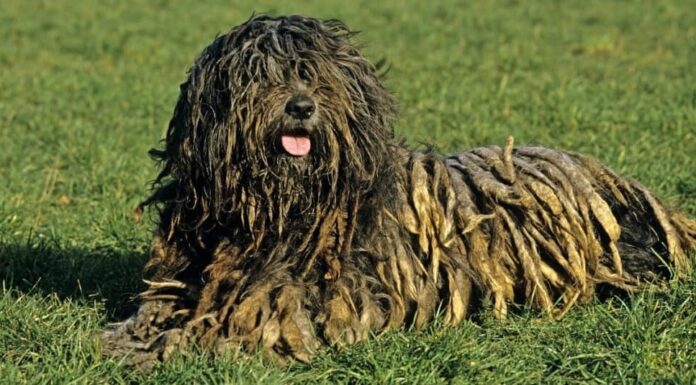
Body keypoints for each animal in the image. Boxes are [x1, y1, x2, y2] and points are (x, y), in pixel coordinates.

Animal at [103, 14, 696, 366]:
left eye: (315, 77)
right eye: (261, 76)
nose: (301, 106)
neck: (273, 209)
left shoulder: (308, 305)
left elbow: (231, 332)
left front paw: (170, 346)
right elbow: (154, 311)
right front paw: (128, 337)